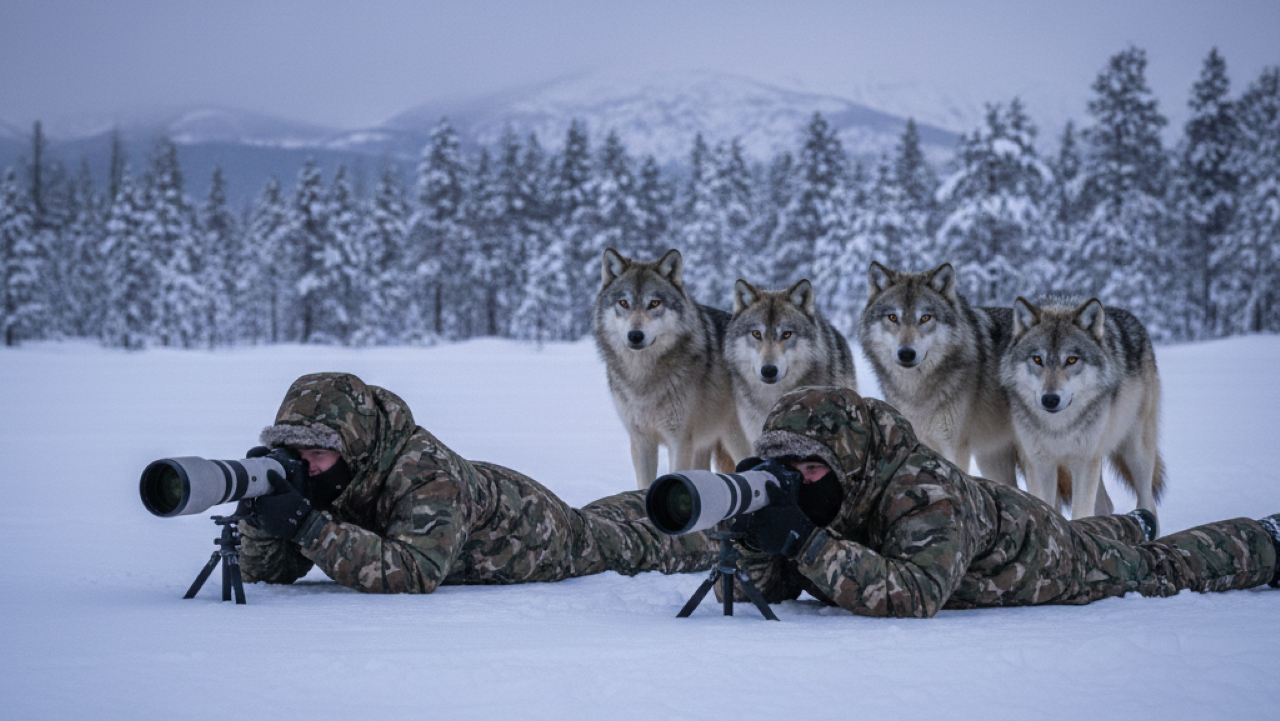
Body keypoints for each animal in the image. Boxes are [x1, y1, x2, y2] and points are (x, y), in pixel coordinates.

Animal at [593, 248, 752, 489]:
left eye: (654, 303)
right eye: (623, 303)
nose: (635, 335)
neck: (643, 377)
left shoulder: (680, 440)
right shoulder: (641, 441)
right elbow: (644, 485)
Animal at [1000, 296, 1165, 524]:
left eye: (1071, 360)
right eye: (1037, 359)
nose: (1050, 399)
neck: (1058, 428)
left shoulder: (1084, 461)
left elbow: (1081, 512)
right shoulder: (1039, 463)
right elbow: (1044, 504)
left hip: (1135, 452)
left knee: (1148, 503)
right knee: (1106, 504)